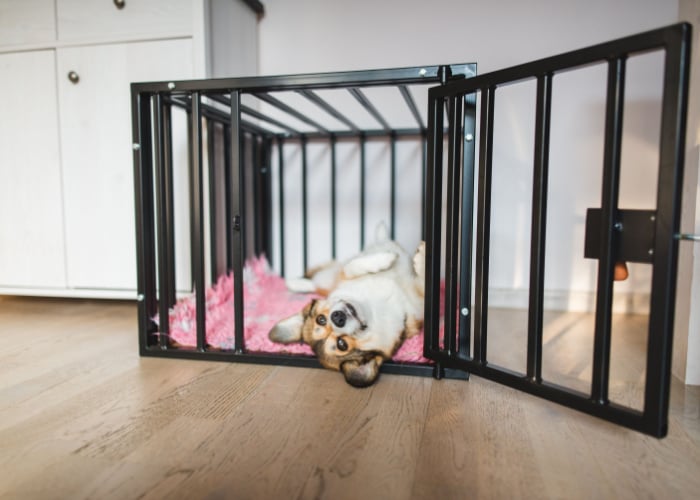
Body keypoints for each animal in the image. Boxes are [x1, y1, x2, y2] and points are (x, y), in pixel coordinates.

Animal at [270, 225, 426, 388]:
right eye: (342, 344)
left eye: (321, 319)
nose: (337, 318)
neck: (373, 307)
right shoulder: (418, 307)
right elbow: (423, 283)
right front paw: (421, 259)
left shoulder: (345, 275)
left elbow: (352, 266)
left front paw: (385, 259)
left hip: (328, 278)